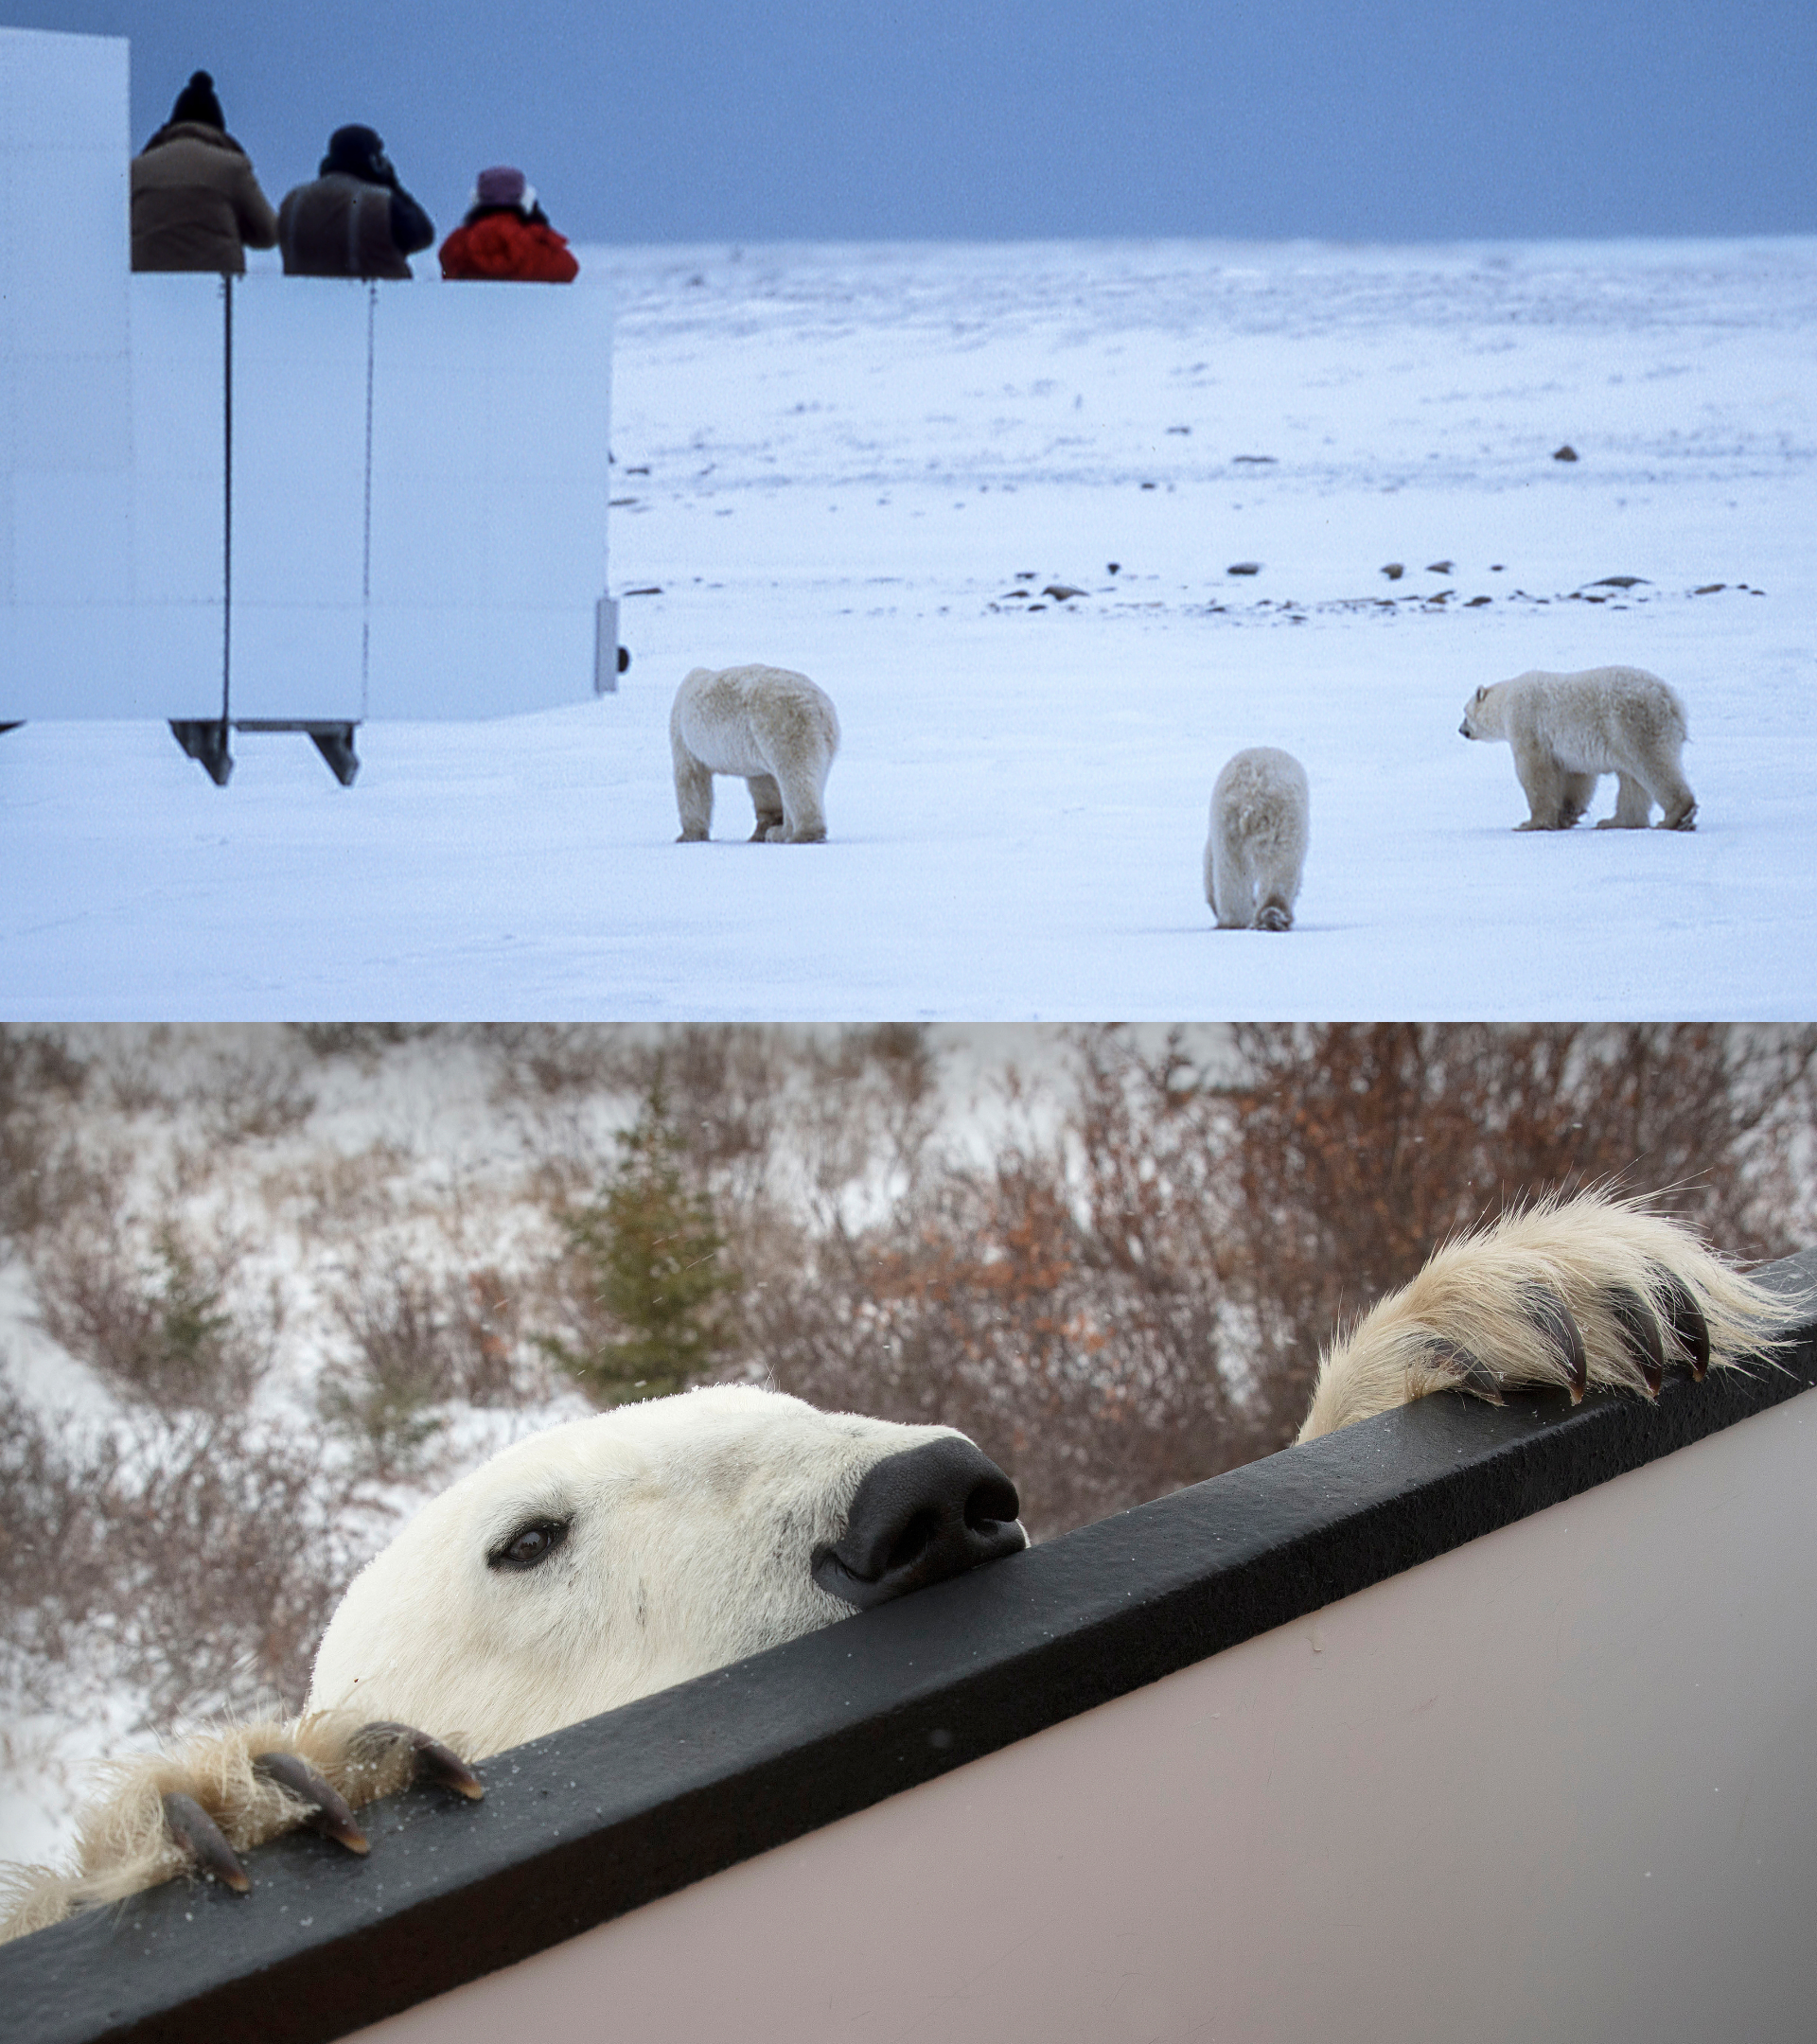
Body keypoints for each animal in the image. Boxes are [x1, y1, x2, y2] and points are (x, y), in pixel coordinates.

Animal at [670, 664, 840, 844]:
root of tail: (818, 705)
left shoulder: (683, 735)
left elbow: (691, 779)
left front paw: (687, 835)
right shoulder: (754, 748)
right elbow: (764, 785)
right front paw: (761, 831)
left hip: (783, 724)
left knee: (795, 775)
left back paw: (802, 834)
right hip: (824, 737)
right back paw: (781, 832)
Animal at [1205, 747, 1309, 931]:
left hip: (1228, 825)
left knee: (1231, 873)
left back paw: (1239, 922)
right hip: (1284, 821)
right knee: (1280, 867)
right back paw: (1272, 917)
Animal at [1458, 666, 1697, 832]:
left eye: (1465, 712)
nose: (1461, 730)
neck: (1505, 699)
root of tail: (1672, 700)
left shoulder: (1526, 722)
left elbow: (1535, 772)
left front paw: (1531, 823)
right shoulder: (1570, 748)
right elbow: (1577, 777)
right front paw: (1566, 815)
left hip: (1633, 723)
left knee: (1651, 765)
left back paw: (1677, 816)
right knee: (1632, 779)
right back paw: (1614, 821)